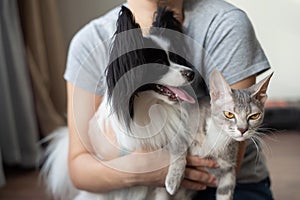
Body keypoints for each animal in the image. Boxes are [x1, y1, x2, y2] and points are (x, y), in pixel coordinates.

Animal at [166, 69, 274, 199]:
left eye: (254, 116)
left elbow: (225, 192)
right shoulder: (178, 127)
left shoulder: (228, 170)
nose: (242, 129)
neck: (218, 137)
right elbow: (179, 148)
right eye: (229, 114)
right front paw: (173, 180)